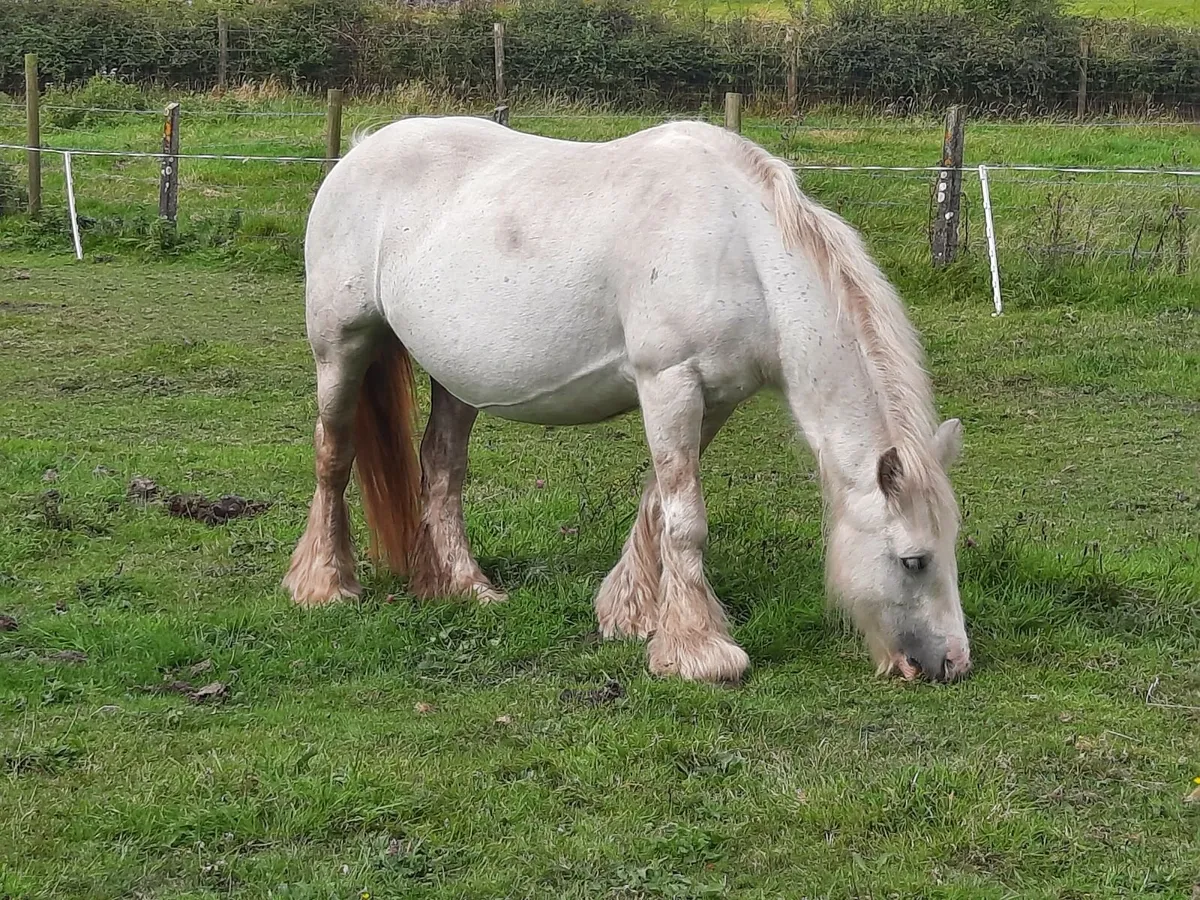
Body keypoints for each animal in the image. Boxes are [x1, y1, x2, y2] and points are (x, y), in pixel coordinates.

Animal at [283, 116, 970, 685]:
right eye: (913, 560)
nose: (951, 664)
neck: (740, 245)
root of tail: (360, 149)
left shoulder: (712, 396)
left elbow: (660, 503)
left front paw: (632, 615)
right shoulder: (668, 381)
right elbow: (686, 518)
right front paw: (699, 652)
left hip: (457, 380)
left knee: (442, 468)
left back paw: (464, 587)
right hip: (342, 347)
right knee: (334, 456)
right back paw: (325, 585)